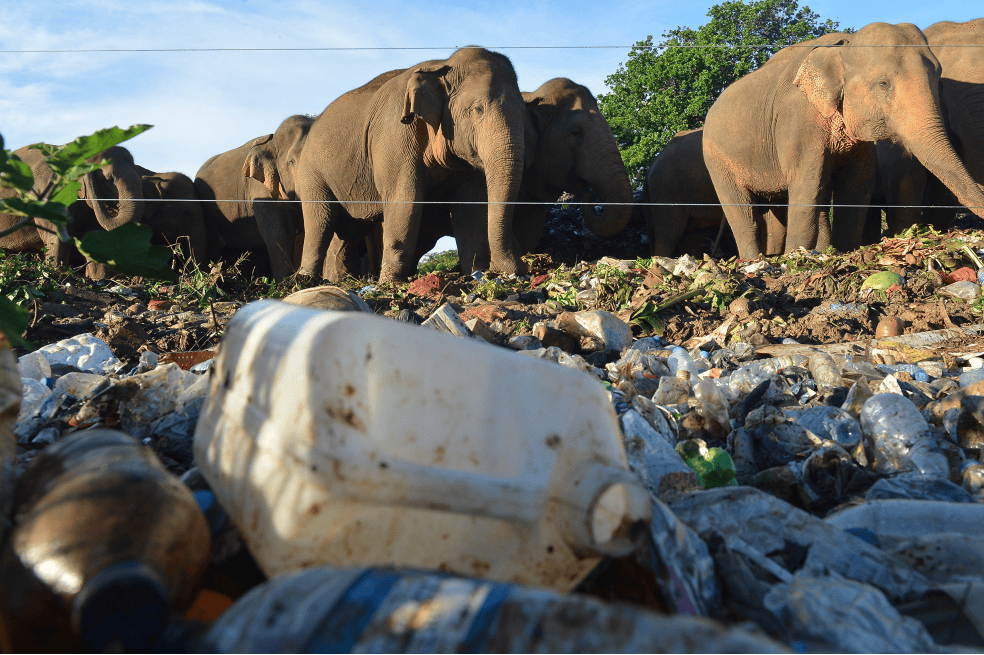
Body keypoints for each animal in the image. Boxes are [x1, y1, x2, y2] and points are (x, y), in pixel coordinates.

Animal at [296, 47, 530, 283]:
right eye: (478, 109)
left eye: (524, 111)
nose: (522, 267)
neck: (442, 67)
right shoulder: (395, 135)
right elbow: (405, 198)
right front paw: (389, 283)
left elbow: (470, 206)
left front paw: (475, 274)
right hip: (311, 172)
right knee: (321, 222)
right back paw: (306, 280)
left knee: (349, 232)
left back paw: (339, 281)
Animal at [702, 22, 984, 260]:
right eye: (883, 84)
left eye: (939, 82)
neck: (846, 45)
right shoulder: (798, 120)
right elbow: (806, 182)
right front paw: (796, 258)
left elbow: (858, 183)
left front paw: (844, 252)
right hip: (716, 159)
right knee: (743, 212)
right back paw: (756, 261)